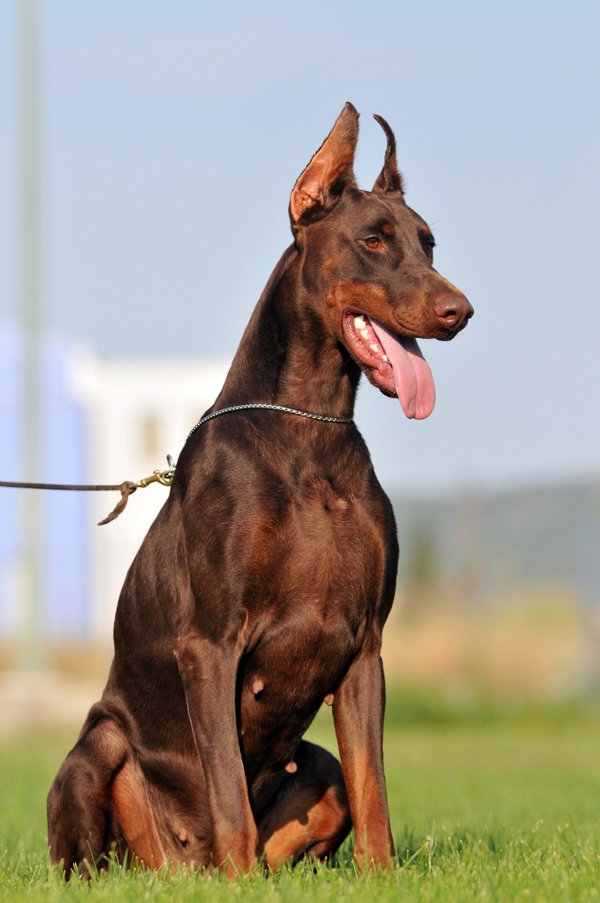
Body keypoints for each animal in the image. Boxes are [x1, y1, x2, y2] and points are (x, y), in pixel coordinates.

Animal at [47, 104, 474, 876]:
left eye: (428, 243)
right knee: (94, 852)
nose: (460, 310)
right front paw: (243, 878)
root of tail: (180, 867)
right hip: (99, 748)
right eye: (373, 239)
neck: (309, 432)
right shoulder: (209, 643)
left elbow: (374, 791)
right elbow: (227, 793)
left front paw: (381, 875)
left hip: (315, 767)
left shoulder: (365, 648)